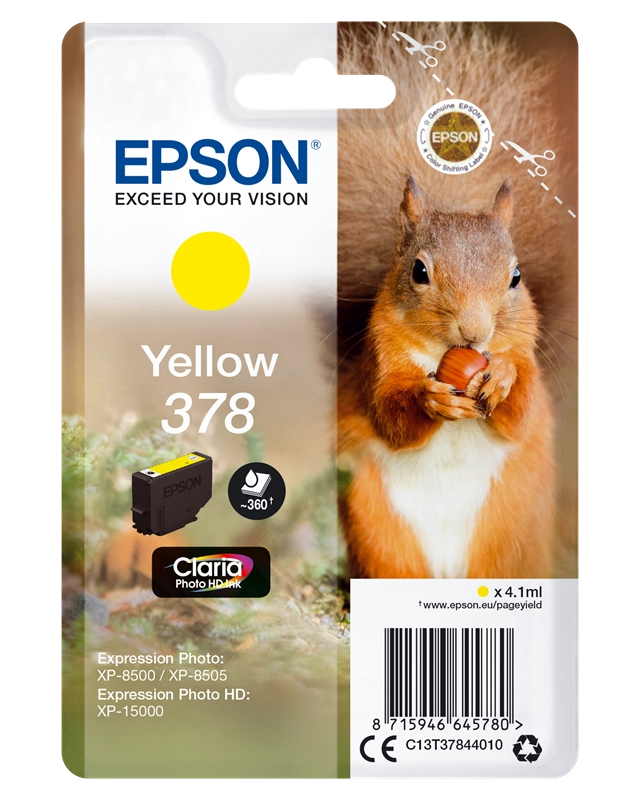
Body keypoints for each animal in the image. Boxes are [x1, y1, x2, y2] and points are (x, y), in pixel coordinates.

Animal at [336, 21, 579, 579]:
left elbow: (522, 411)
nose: (475, 332)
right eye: (419, 271)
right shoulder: (380, 362)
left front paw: (503, 378)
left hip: (511, 533)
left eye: (516, 277)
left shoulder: (527, 356)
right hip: (378, 530)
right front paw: (431, 399)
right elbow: (390, 414)